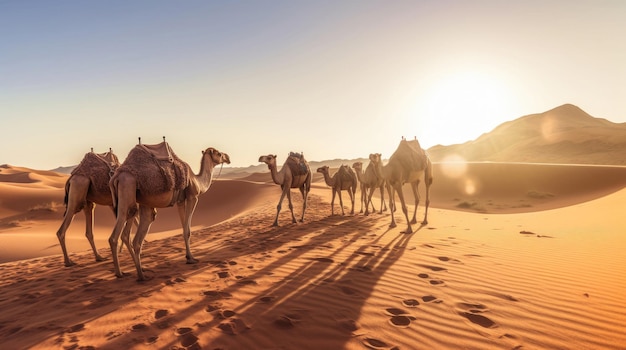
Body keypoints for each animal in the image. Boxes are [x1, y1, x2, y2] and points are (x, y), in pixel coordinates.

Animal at [108, 141, 229, 280]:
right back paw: (123, 273)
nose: (228, 157)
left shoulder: (180, 201)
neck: (197, 180)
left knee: (126, 233)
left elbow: (184, 228)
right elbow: (188, 230)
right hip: (127, 191)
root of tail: (116, 176)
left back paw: (137, 270)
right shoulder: (192, 197)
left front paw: (188, 257)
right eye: (219, 154)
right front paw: (192, 259)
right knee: (116, 235)